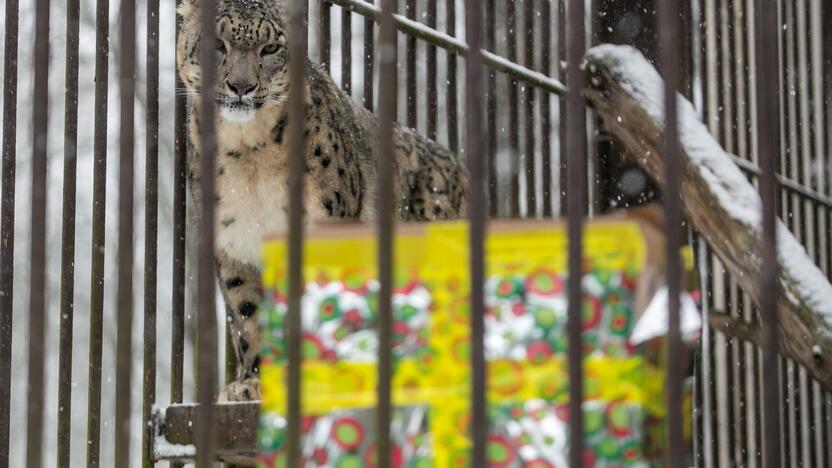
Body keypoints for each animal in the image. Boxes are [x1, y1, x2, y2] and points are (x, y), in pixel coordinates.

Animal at [176, 0, 468, 402]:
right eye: (217, 44)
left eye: (270, 47)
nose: (242, 86)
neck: (248, 155)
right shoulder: (233, 244)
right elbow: (248, 313)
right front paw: (252, 382)